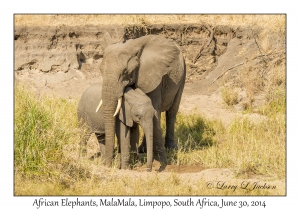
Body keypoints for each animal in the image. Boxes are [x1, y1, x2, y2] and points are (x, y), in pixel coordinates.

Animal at [100, 34, 185, 171]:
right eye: (100, 70)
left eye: (125, 72)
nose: (108, 165)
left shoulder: (153, 78)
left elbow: (155, 111)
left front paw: (160, 161)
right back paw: (143, 149)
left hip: (182, 75)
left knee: (172, 112)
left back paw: (171, 148)